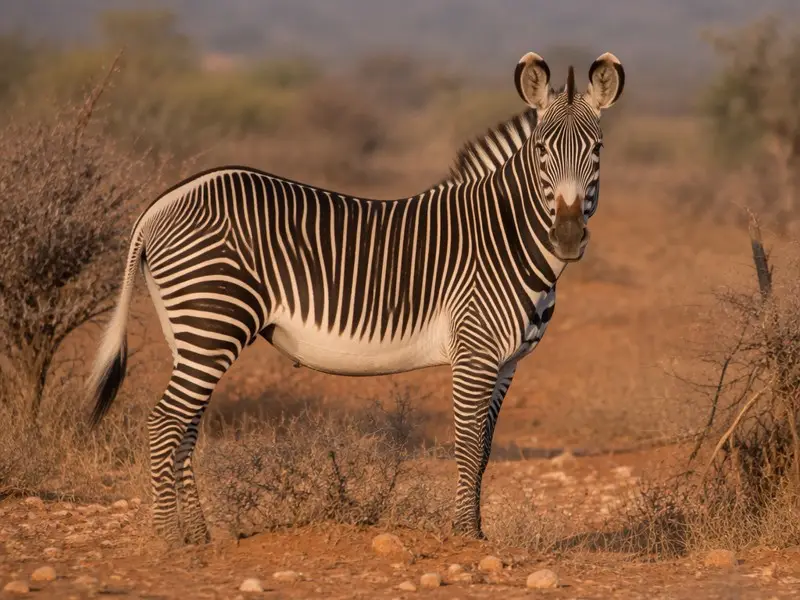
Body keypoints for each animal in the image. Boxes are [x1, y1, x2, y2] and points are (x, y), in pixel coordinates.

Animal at [87, 51, 625, 545]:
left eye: (597, 149)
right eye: (542, 150)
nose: (568, 237)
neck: (506, 236)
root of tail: (163, 202)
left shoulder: (508, 362)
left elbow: (487, 450)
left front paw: (475, 530)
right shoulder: (475, 351)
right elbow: (469, 446)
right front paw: (464, 537)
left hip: (189, 330)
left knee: (186, 427)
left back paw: (199, 537)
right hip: (213, 320)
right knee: (165, 422)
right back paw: (169, 540)